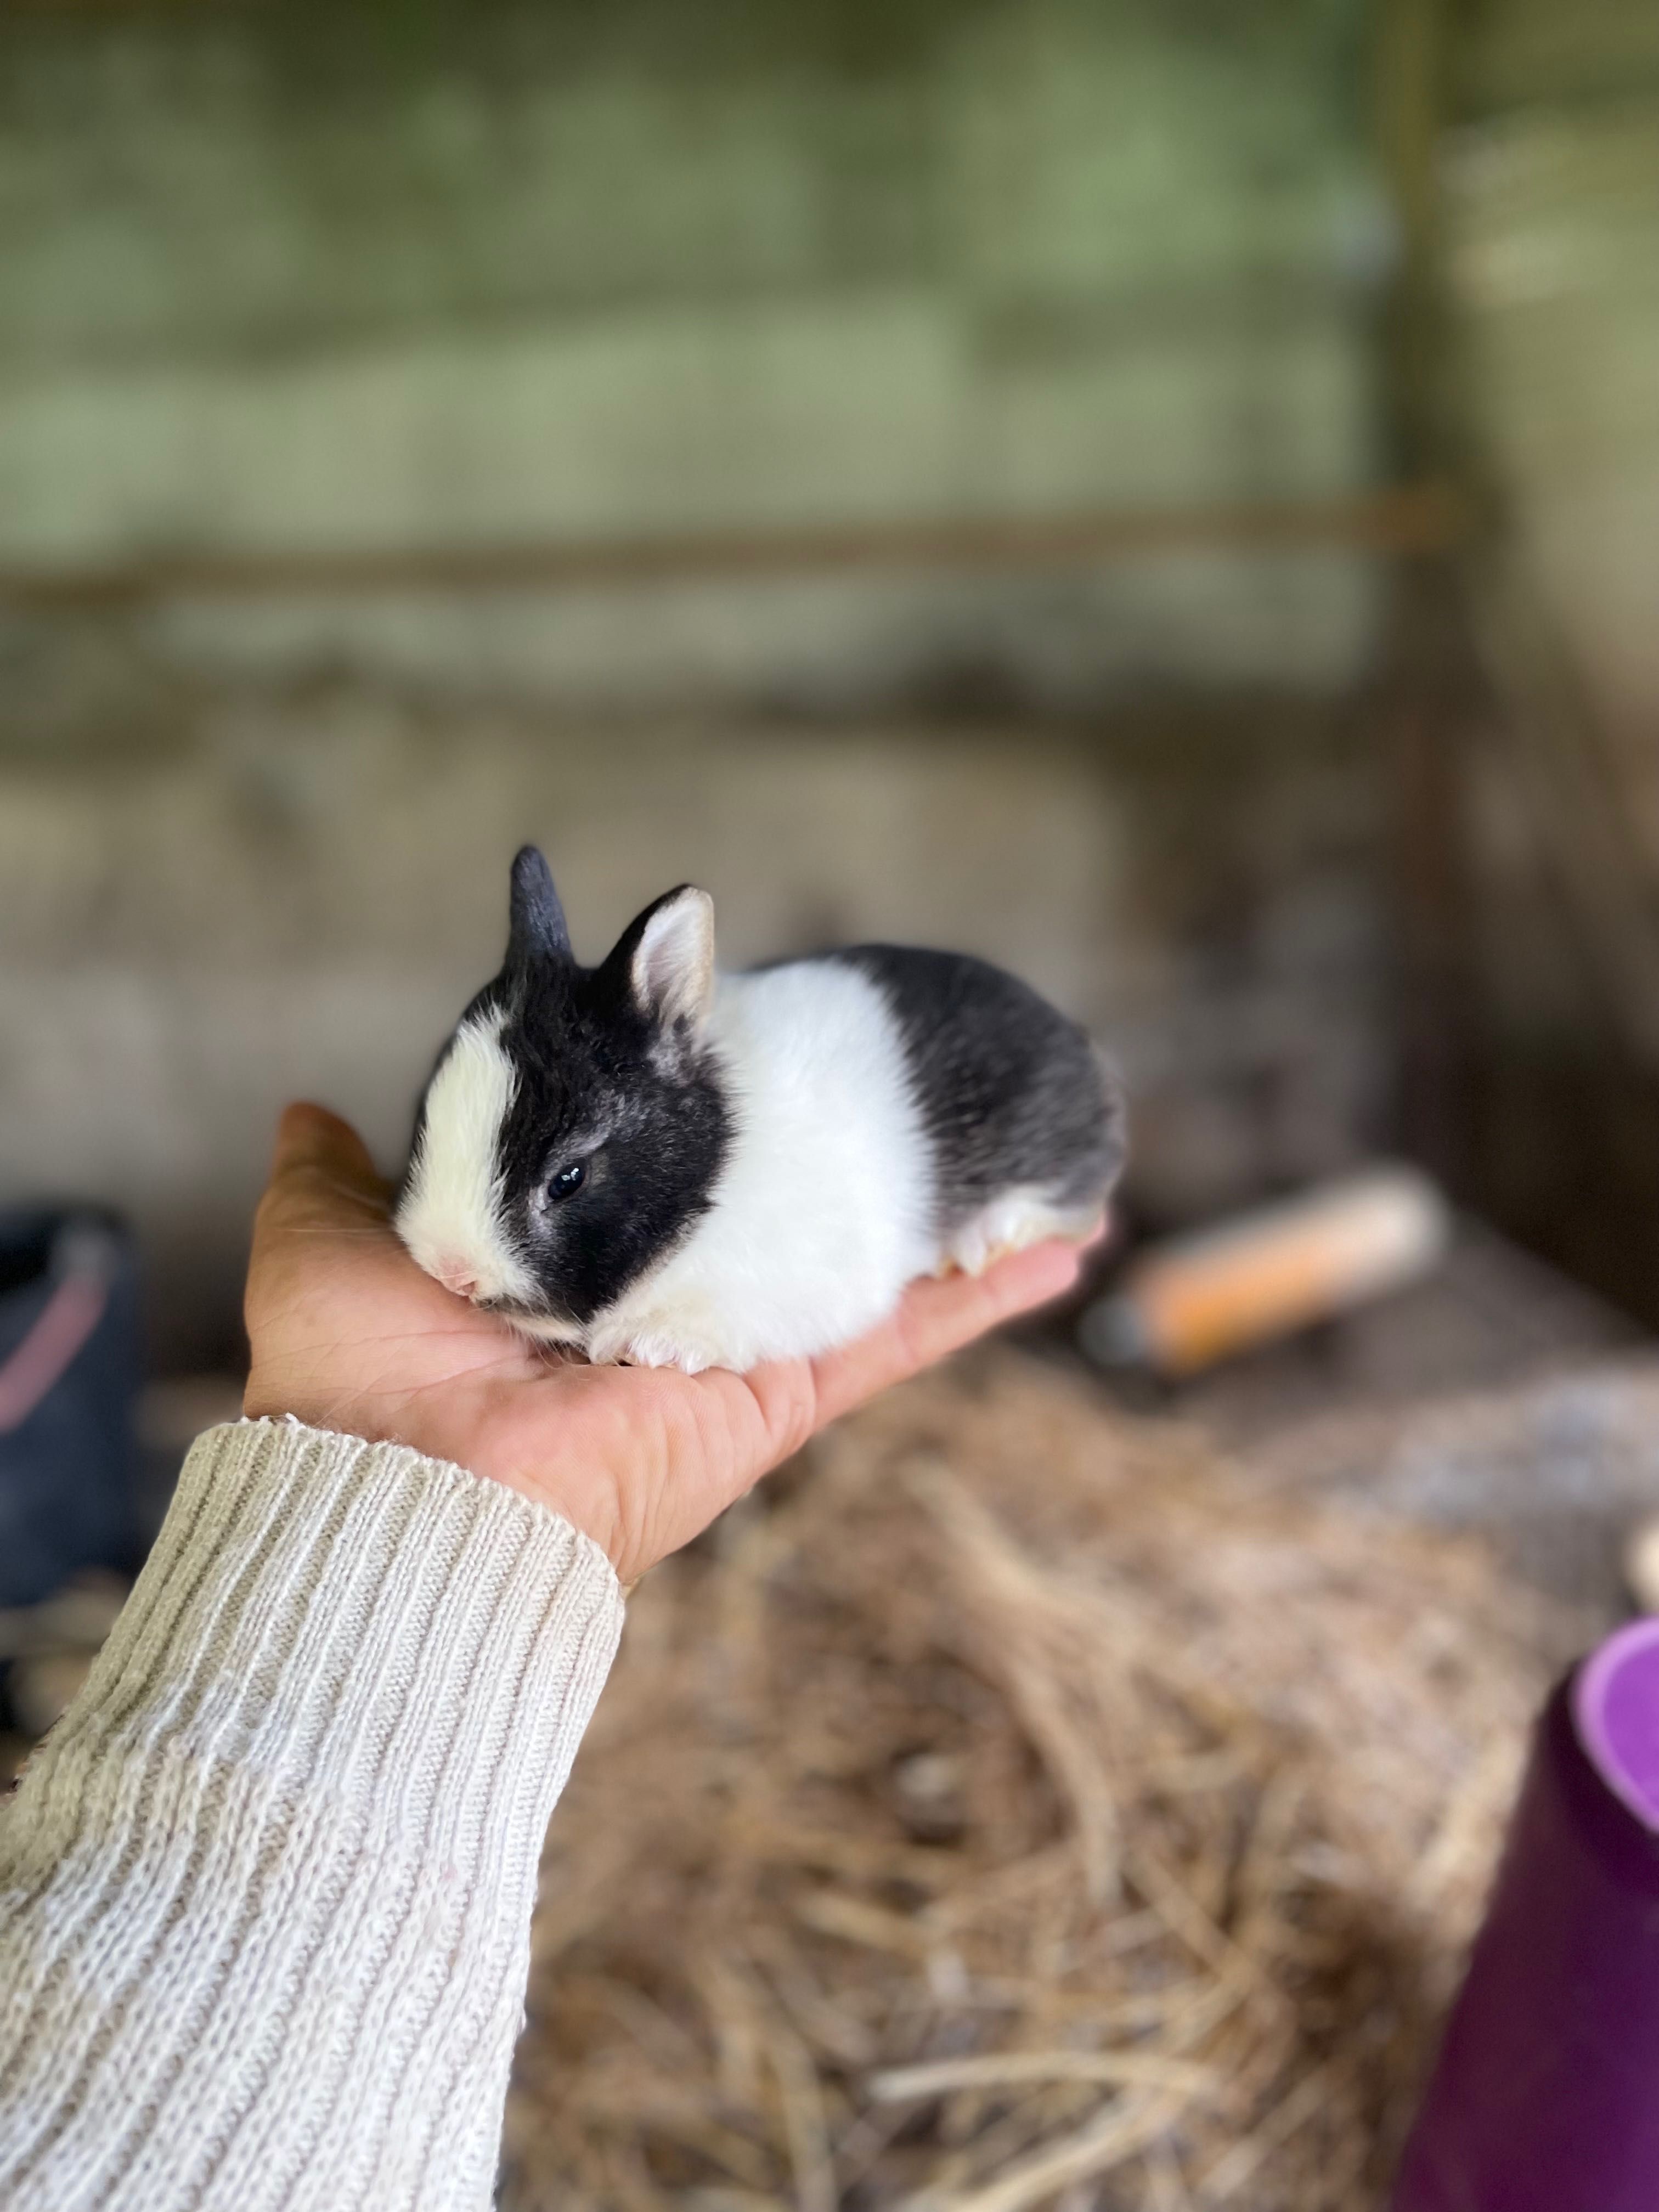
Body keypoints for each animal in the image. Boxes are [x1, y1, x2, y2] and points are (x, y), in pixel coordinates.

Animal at [398, 840, 1132, 1362]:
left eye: (569, 1179)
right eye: (426, 1117)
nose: (453, 1272)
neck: (719, 1163)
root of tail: (1085, 1053)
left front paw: (653, 1344)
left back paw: (988, 1238)